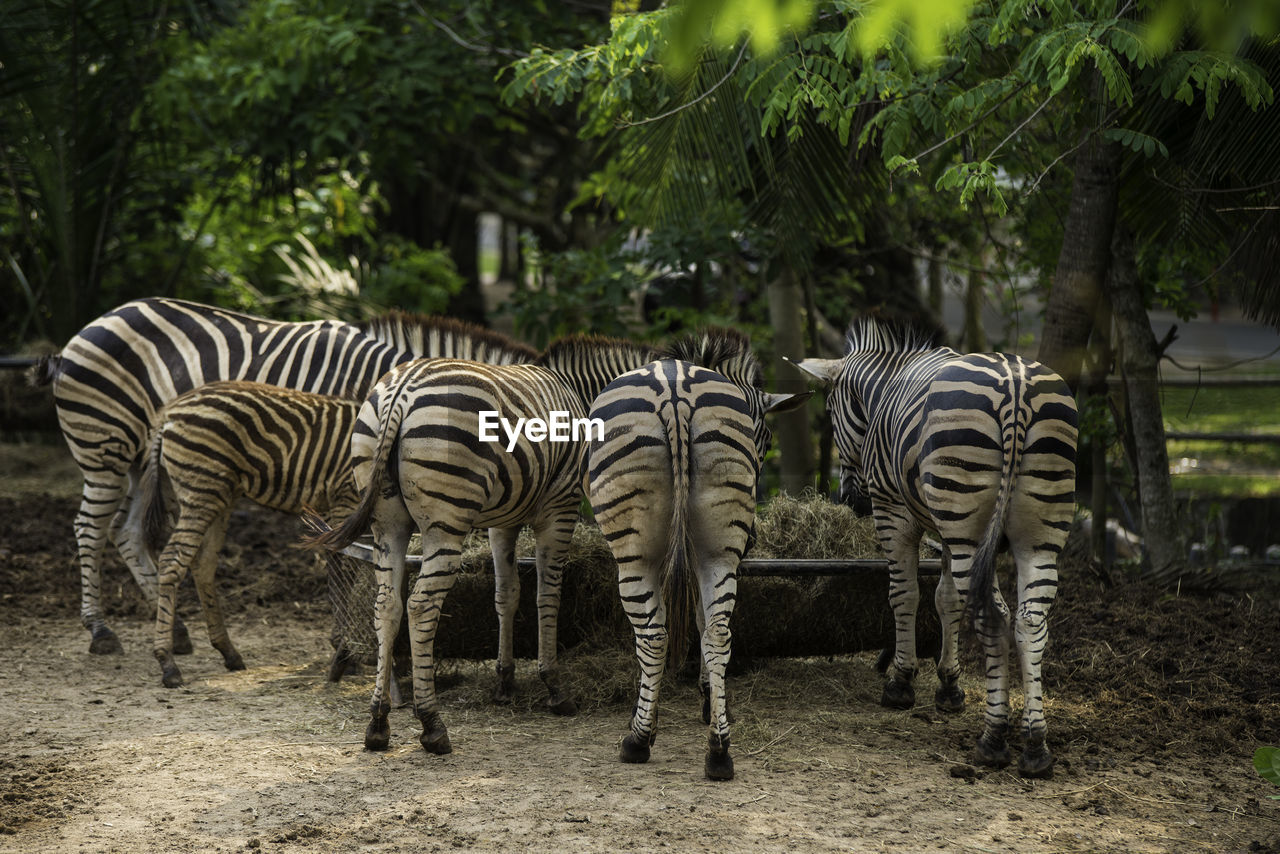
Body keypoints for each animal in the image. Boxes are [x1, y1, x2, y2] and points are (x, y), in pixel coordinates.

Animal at [139, 384, 360, 691]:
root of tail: (167, 415)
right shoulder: (346, 497)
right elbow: (344, 568)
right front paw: (344, 649)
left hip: (217, 494)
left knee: (202, 563)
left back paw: (228, 652)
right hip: (202, 488)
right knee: (173, 560)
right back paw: (167, 662)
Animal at [304, 332, 655, 752]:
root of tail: (401, 391)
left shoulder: (504, 520)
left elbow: (507, 594)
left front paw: (505, 681)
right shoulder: (561, 505)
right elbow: (547, 595)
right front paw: (554, 687)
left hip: (387, 520)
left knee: (387, 605)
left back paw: (378, 724)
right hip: (446, 517)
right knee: (421, 606)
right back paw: (432, 725)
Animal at [586, 330, 803, 783]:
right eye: (764, 443)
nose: (754, 539)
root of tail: (675, 390)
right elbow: (703, 623)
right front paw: (713, 704)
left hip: (634, 552)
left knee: (653, 636)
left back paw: (638, 741)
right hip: (719, 545)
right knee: (719, 632)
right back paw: (719, 752)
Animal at [793, 317, 1075, 778]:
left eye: (832, 415)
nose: (850, 501)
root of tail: (1015, 384)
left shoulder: (894, 513)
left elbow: (905, 595)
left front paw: (901, 681)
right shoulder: (945, 528)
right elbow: (946, 600)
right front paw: (949, 686)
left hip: (969, 521)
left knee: (994, 617)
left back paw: (994, 739)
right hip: (1034, 534)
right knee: (1030, 622)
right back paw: (1035, 746)